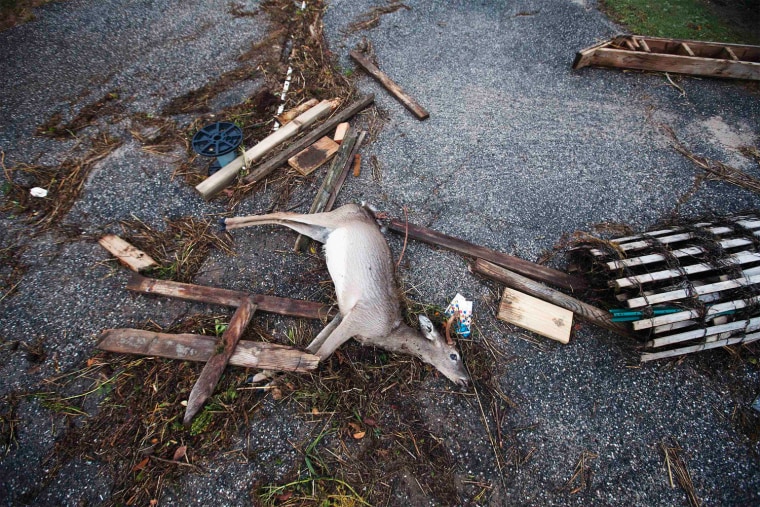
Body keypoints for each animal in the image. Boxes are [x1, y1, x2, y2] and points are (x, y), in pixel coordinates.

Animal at [224, 203, 470, 388]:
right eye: (454, 355)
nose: (466, 380)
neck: (386, 332)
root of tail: (360, 207)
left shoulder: (342, 315)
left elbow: (310, 349)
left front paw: (261, 376)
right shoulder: (357, 319)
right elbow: (319, 356)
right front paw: (269, 381)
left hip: (322, 232)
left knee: (289, 220)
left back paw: (227, 223)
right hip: (333, 218)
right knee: (287, 213)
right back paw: (226, 222)